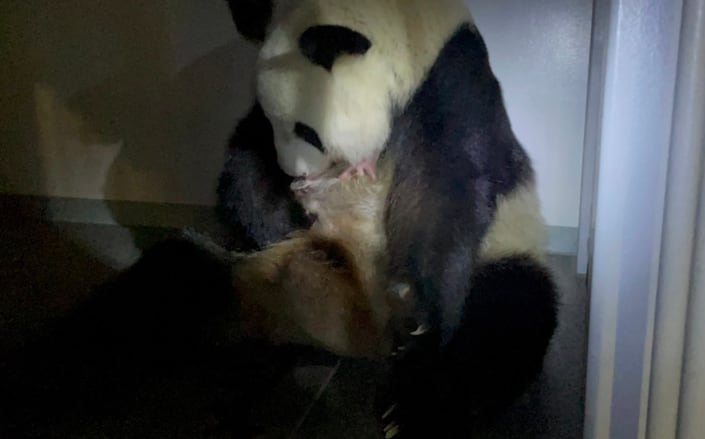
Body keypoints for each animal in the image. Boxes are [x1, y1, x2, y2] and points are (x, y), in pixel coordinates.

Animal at [218, 0, 559, 437]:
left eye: (307, 130)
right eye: (274, 121)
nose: (294, 173)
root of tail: (366, 337)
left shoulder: (451, 79)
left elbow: (446, 182)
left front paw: (415, 307)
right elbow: (244, 158)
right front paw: (280, 219)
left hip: (503, 253)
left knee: (504, 320)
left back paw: (413, 409)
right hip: (259, 283)